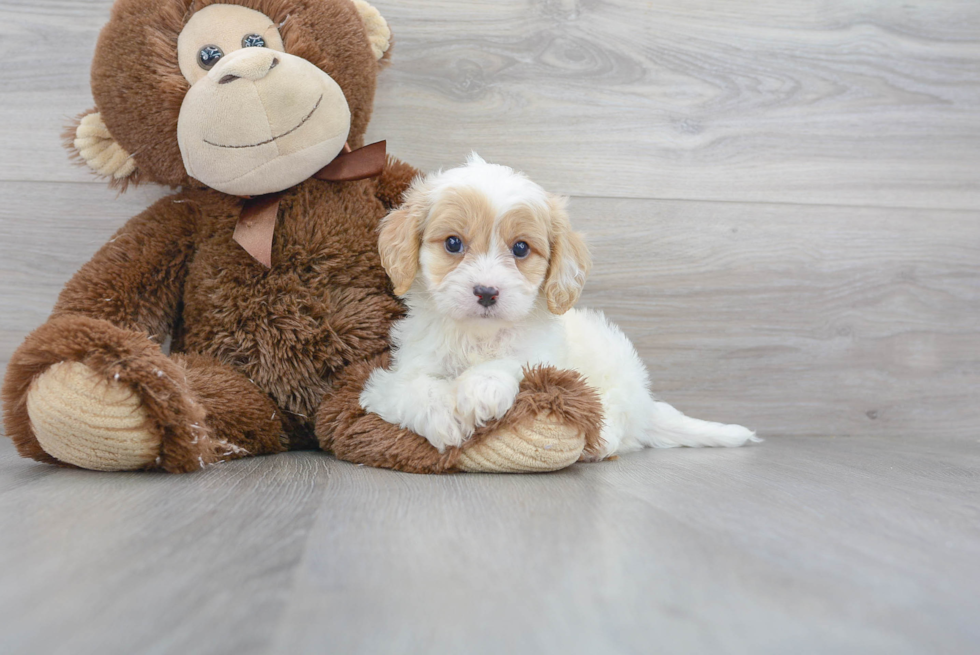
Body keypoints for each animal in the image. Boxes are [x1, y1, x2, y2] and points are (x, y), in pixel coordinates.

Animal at [360, 156, 756, 458]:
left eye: (520, 248)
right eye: (453, 243)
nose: (486, 292)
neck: (479, 335)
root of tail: (646, 405)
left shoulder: (545, 355)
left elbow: (517, 361)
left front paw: (482, 388)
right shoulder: (397, 375)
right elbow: (412, 388)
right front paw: (444, 417)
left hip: (616, 376)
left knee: (616, 425)